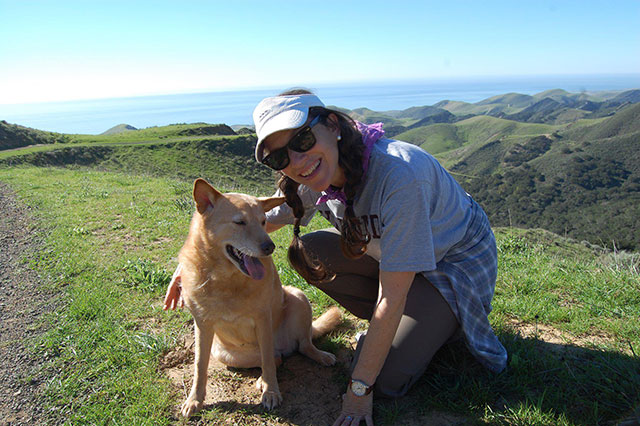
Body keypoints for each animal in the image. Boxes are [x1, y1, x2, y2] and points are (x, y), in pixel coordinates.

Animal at [178, 178, 342, 418]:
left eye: (264, 221)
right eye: (240, 222)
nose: (270, 247)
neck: (225, 279)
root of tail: (284, 346)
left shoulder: (263, 319)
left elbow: (267, 360)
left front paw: (271, 392)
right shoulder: (202, 325)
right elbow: (200, 366)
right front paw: (194, 400)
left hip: (298, 297)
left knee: (300, 346)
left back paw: (315, 357)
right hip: (227, 354)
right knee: (276, 358)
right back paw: (262, 379)